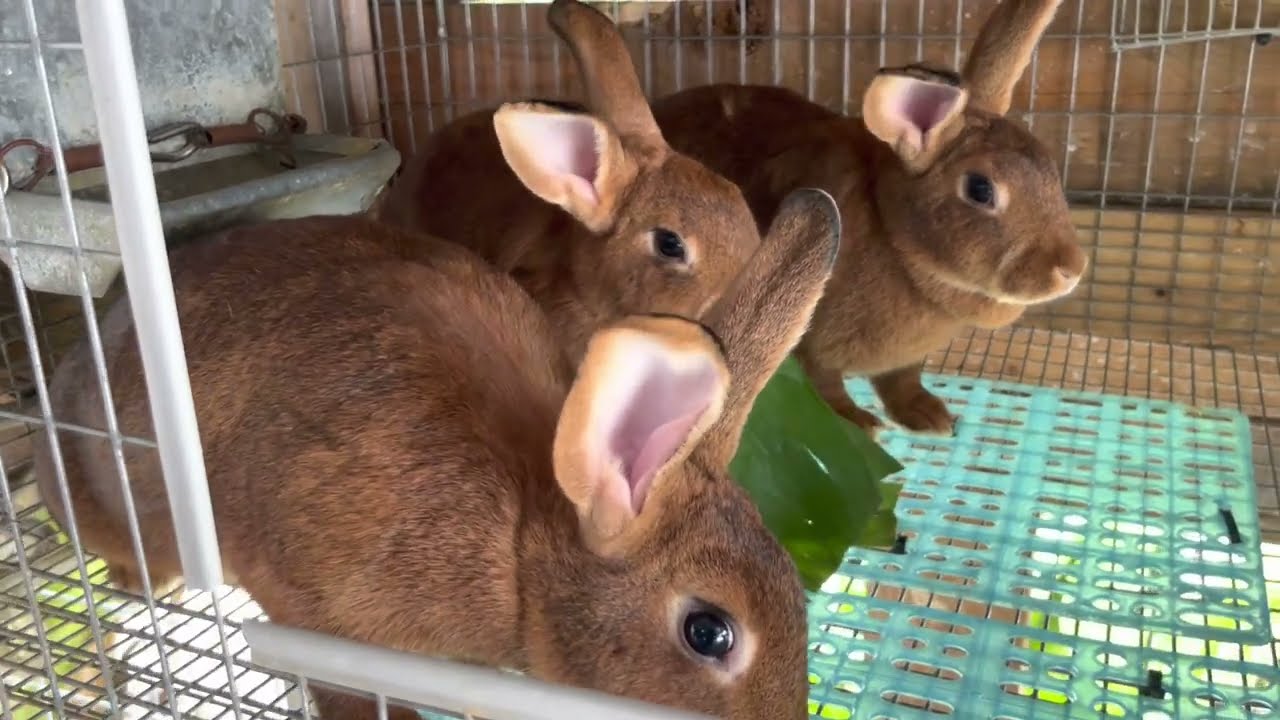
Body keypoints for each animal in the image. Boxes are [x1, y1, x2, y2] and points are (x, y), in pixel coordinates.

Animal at [648, 0, 1087, 438]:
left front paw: (930, 416)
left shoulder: (904, 361)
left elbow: (902, 381)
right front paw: (857, 423)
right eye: (980, 189)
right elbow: (825, 384)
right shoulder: (809, 338)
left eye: (1050, 167)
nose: (1071, 270)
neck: (897, 241)